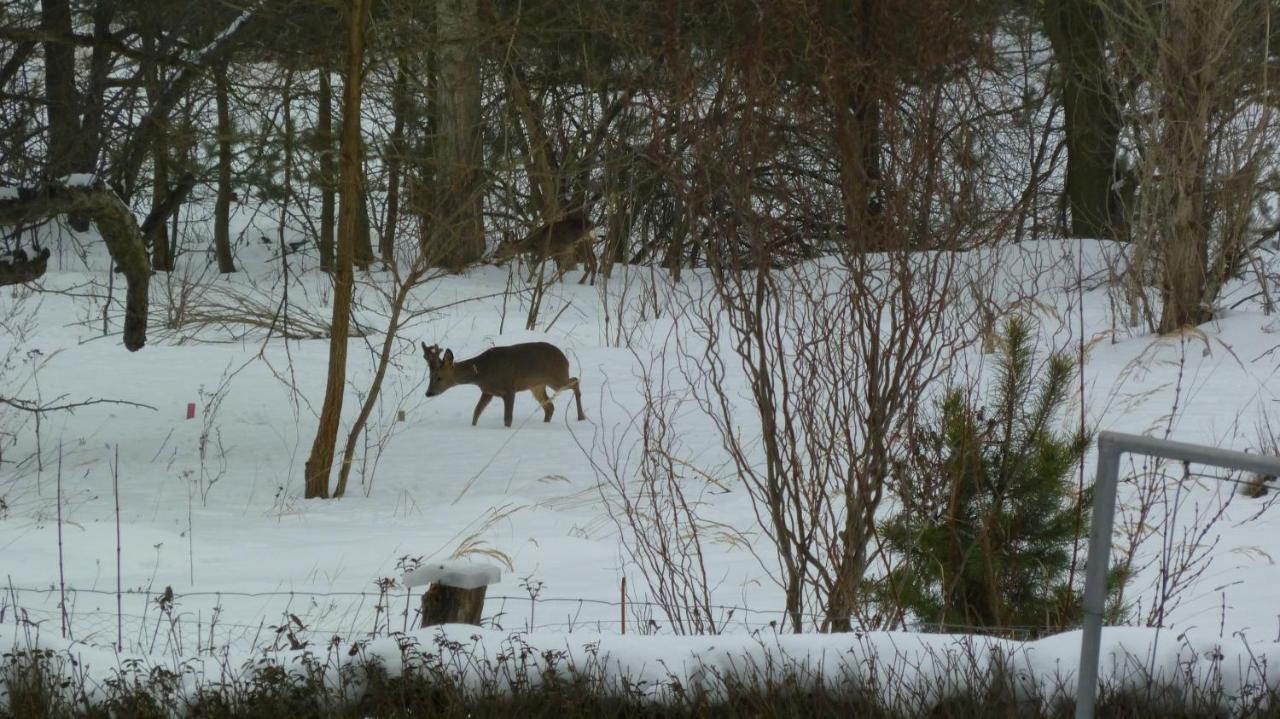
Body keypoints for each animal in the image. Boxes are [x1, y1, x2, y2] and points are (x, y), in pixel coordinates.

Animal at [422, 340, 586, 424]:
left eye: (439, 377)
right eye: (429, 377)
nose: (428, 393)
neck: (482, 372)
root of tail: (565, 358)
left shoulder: (509, 388)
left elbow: (508, 418)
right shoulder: (487, 391)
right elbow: (476, 412)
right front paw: (473, 427)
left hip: (556, 377)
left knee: (575, 381)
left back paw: (581, 417)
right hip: (537, 385)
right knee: (550, 406)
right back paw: (546, 423)